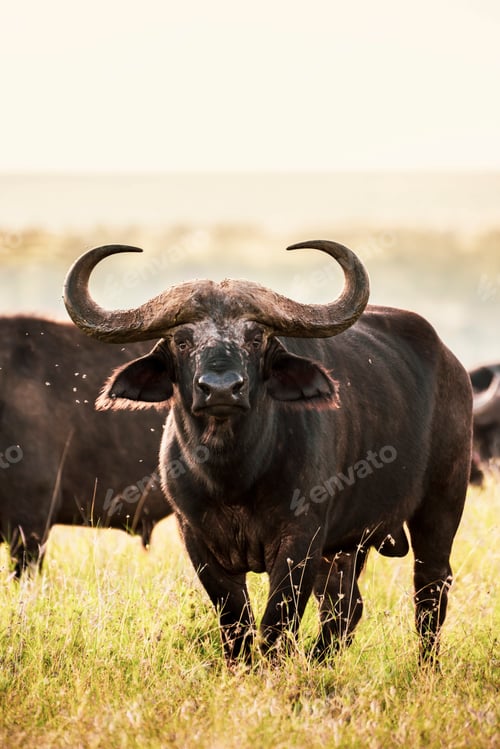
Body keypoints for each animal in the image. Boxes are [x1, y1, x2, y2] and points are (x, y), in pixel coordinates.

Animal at [64, 241, 472, 666]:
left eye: (255, 337)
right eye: (183, 339)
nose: (221, 388)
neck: (235, 476)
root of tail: (454, 367)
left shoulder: (301, 539)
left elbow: (277, 620)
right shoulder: (196, 538)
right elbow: (235, 620)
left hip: (441, 506)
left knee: (430, 591)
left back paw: (426, 666)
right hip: (347, 544)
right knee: (345, 606)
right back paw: (319, 661)